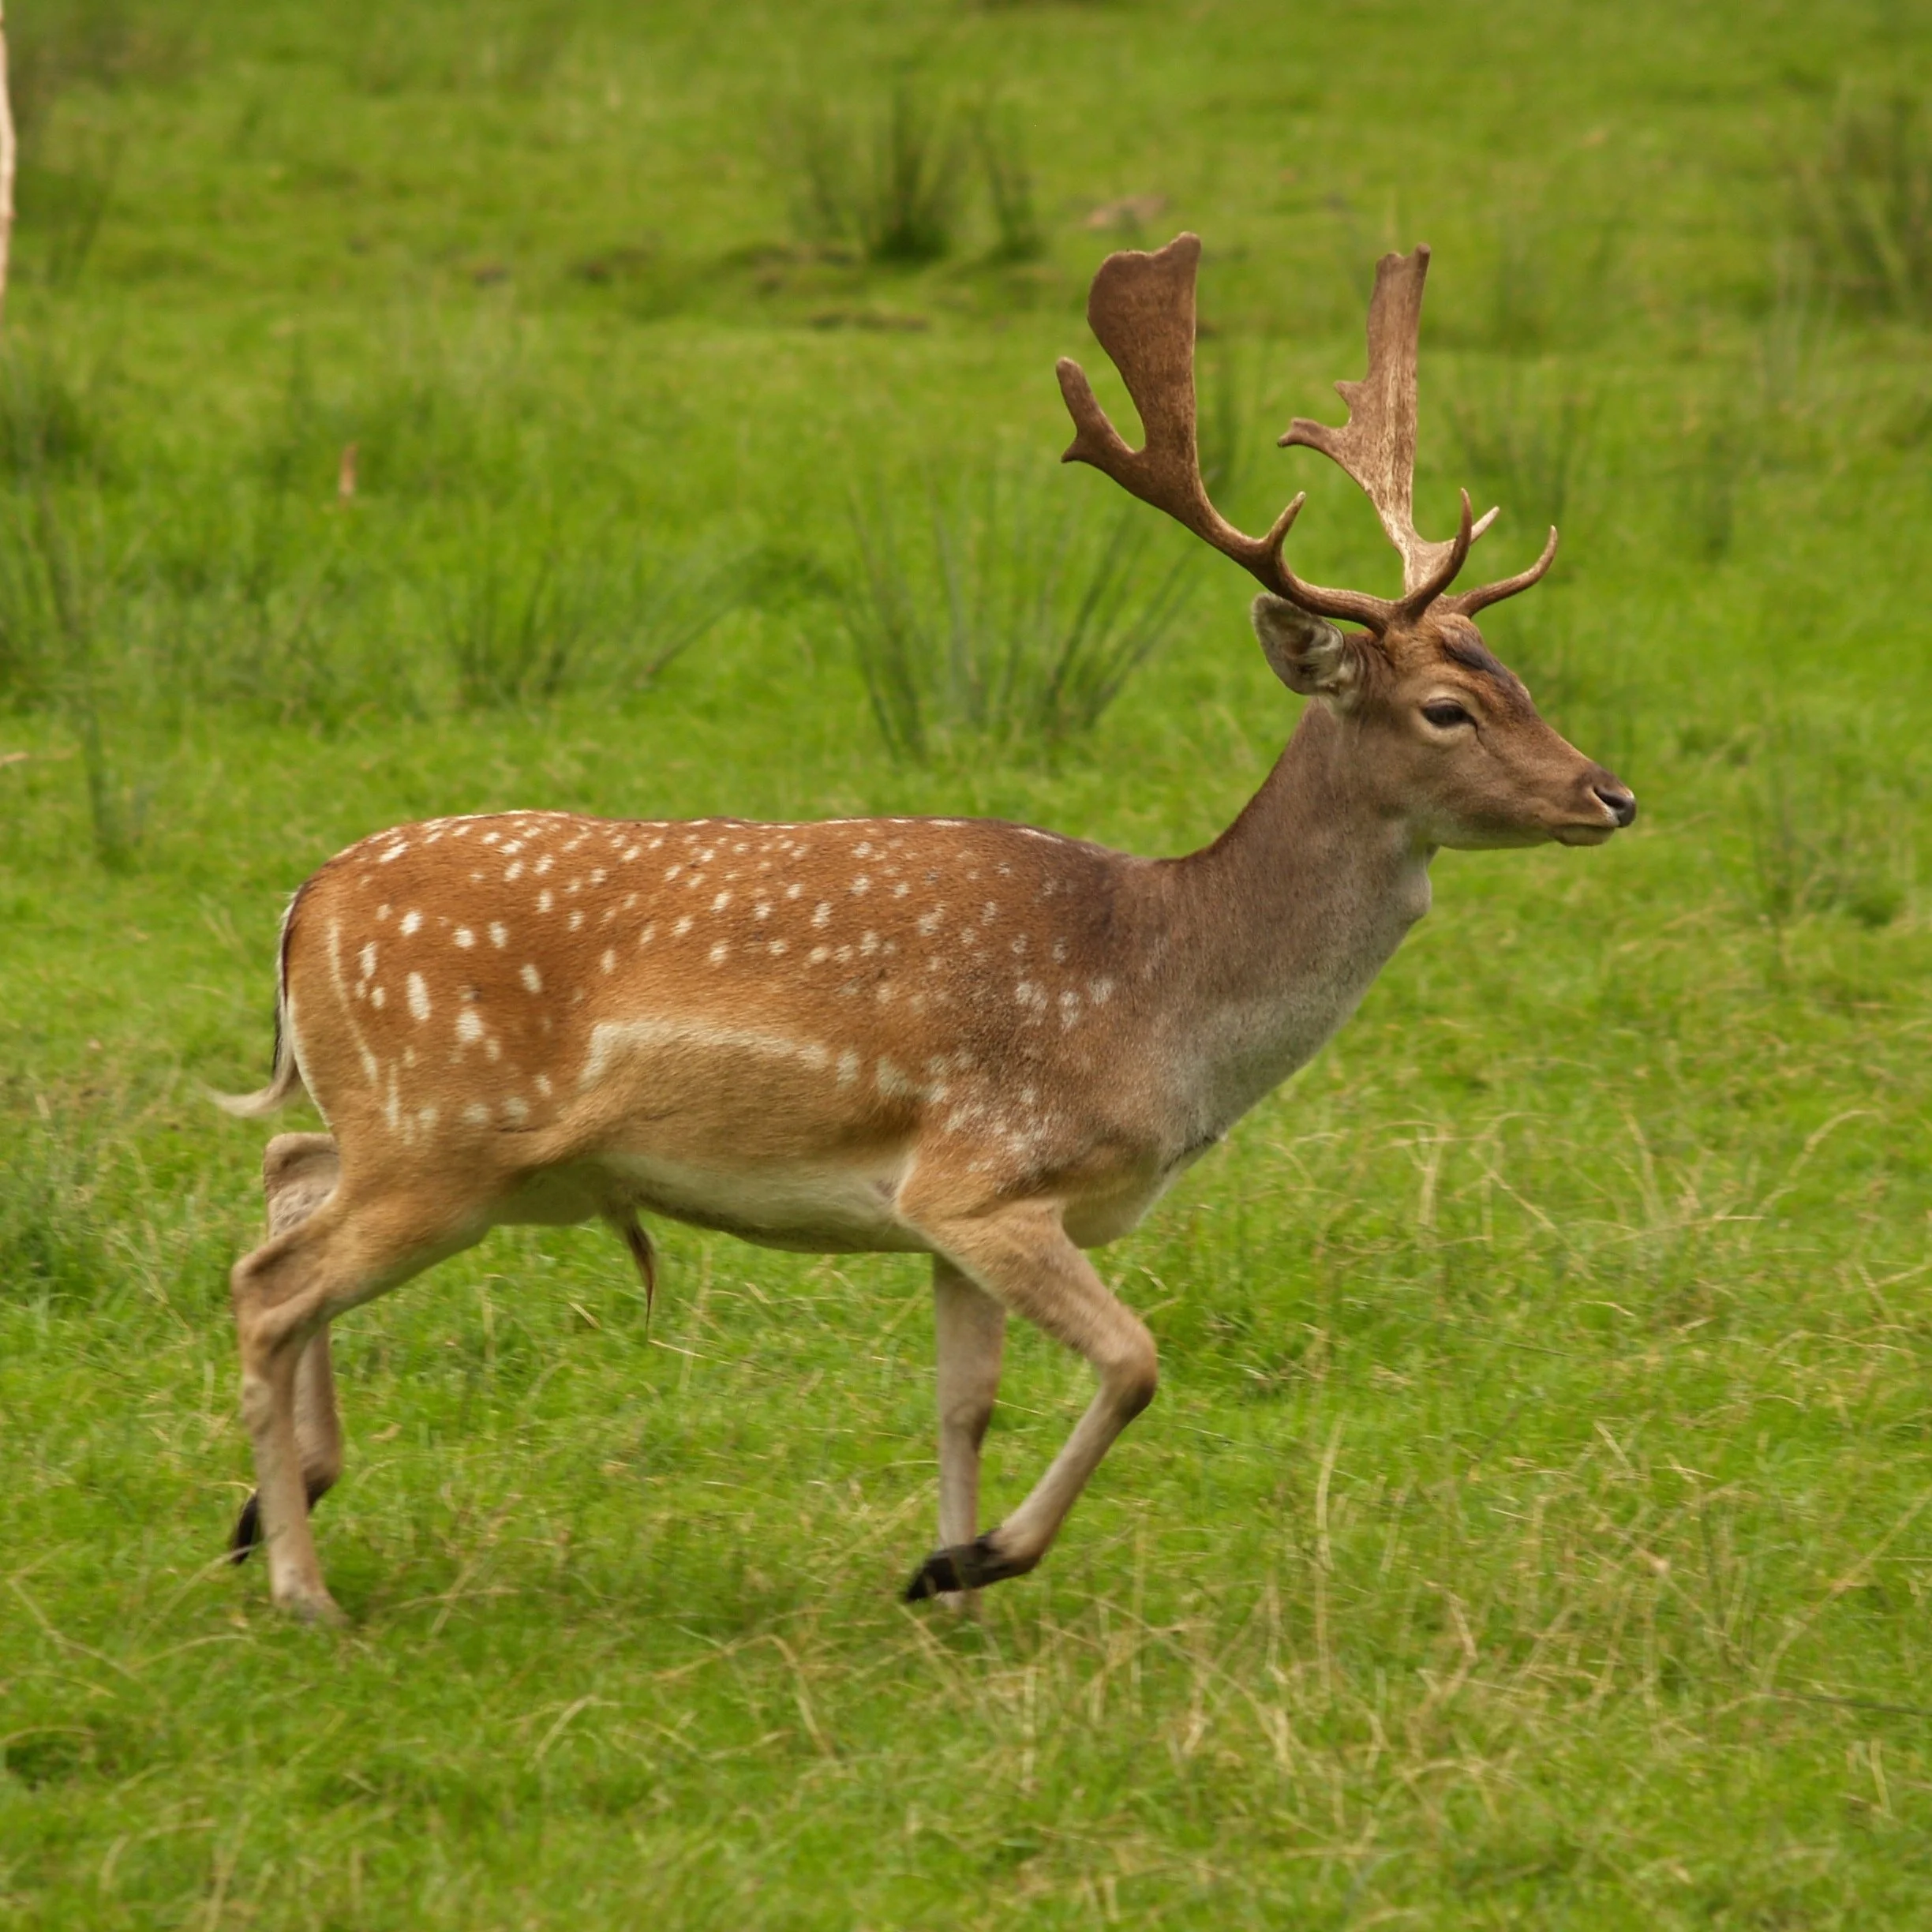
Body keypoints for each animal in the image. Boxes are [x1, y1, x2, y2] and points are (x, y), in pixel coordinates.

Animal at [215, 234, 1631, 1623]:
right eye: (1448, 707)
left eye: (1521, 678)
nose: (1610, 793)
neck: (1160, 1000)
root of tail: (302, 901)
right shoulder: (984, 1173)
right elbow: (1133, 1361)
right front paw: (975, 1561)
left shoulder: (950, 1216)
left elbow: (965, 1402)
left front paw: (948, 1591)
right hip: (440, 1139)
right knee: (269, 1284)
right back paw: (300, 1585)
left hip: (430, 1139)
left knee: (286, 1171)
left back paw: (267, 1508)